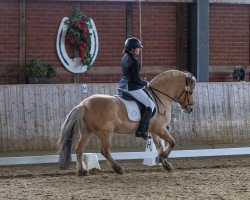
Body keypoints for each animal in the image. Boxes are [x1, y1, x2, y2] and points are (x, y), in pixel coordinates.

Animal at [57, 69, 196, 176]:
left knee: (79, 149)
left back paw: (82, 171)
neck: (160, 96)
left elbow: (159, 147)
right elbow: (172, 142)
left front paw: (165, 163)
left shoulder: (154, 130)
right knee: (105, 151)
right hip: (105, 133)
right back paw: (118, 169)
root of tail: (84, 104)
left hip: (87, 132)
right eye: (189, 91)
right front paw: (162, 158)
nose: (190, 109)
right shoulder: (159, 128)